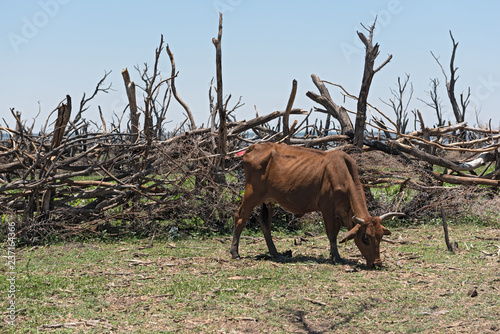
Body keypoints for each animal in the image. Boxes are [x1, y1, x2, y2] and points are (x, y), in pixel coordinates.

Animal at [229, 142, 402, 268]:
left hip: (269, 200)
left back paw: (276, 254)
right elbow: (331, 234)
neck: (343, 176)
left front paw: (334, 255)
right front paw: (337, 257)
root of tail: (254, 147)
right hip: (251, 194)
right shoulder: (327, 208)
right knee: (240, 218)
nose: (377, 263)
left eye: (380, 236)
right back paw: (235, 253)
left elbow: (335, 233)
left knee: (265, 224)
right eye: (365, 238)